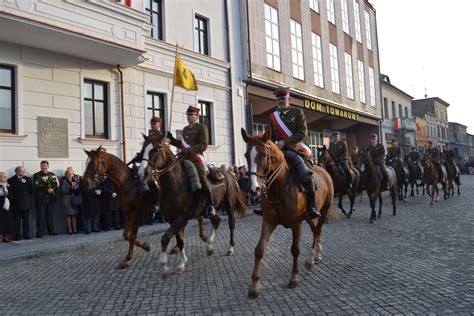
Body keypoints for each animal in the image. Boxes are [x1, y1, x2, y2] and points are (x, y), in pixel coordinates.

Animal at [143, 133, 246, 278]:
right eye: (143, 149)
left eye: (157, 150)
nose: (144, 173)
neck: (174, 184)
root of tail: (228, 173)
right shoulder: (172, 219)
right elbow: (179, 240)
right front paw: (181, 264)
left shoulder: (181, 218)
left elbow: (165, 238)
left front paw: (164, 265)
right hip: (208, 209)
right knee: (216, 220)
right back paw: (209, 247)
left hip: (229, 205)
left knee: (231, 224)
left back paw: (230, 249)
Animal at [241, 128, 334, 298]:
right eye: (246, 155)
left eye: (263, 154)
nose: (254, 189)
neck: (278, 188)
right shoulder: (268, 222)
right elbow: (259, 250)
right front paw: (254, 285)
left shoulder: (296, 224)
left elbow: (295, 250)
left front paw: (294, 278)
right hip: (309, 216)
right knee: (315, 230)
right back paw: (317, 255)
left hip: (324, 211)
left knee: (318, 230)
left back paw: (312, 258)